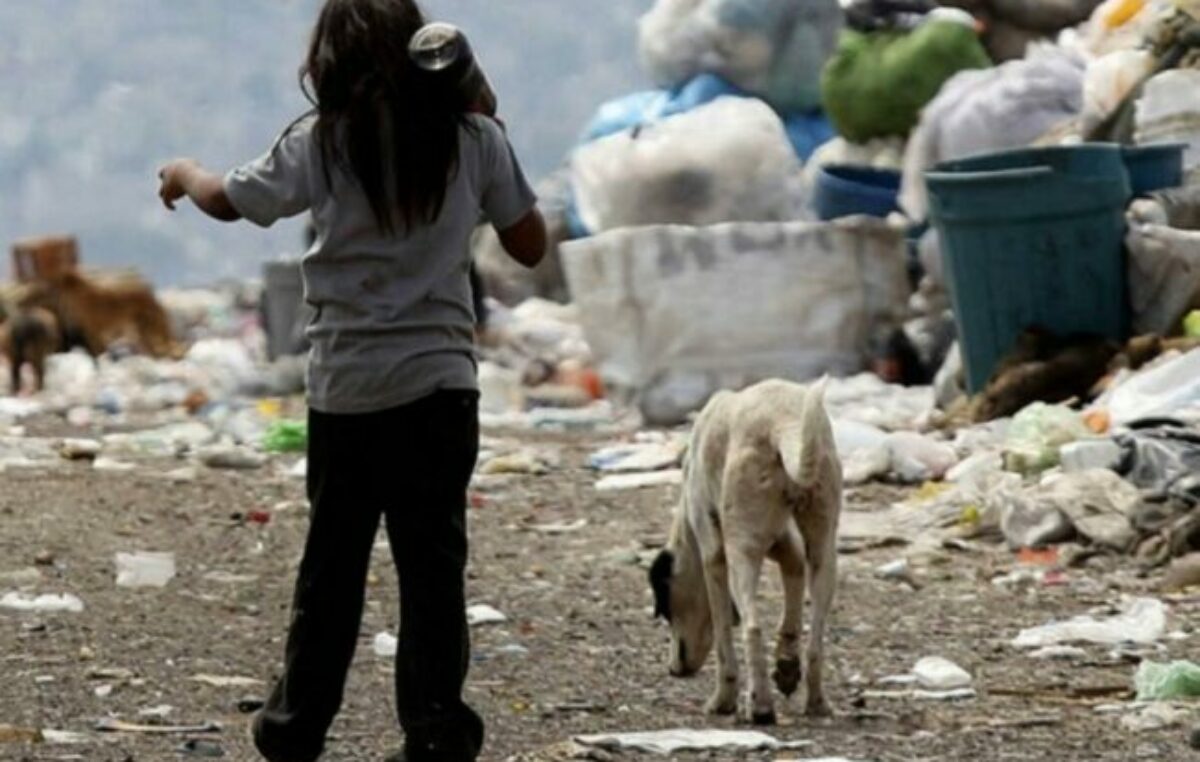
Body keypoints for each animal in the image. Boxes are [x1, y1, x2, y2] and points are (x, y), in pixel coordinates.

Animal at [648, 379, 844, 724]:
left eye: (666, 609)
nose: (673, 671)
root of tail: (783, 422)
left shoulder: (714, 557)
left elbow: (723, 635)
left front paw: (723, 700)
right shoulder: (785, 545)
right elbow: (793, 590)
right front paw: (786, 666)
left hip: (742, 552)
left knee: (752, 627)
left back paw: (761, 705)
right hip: (824, 546)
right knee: (816, 640)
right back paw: (816, 702)